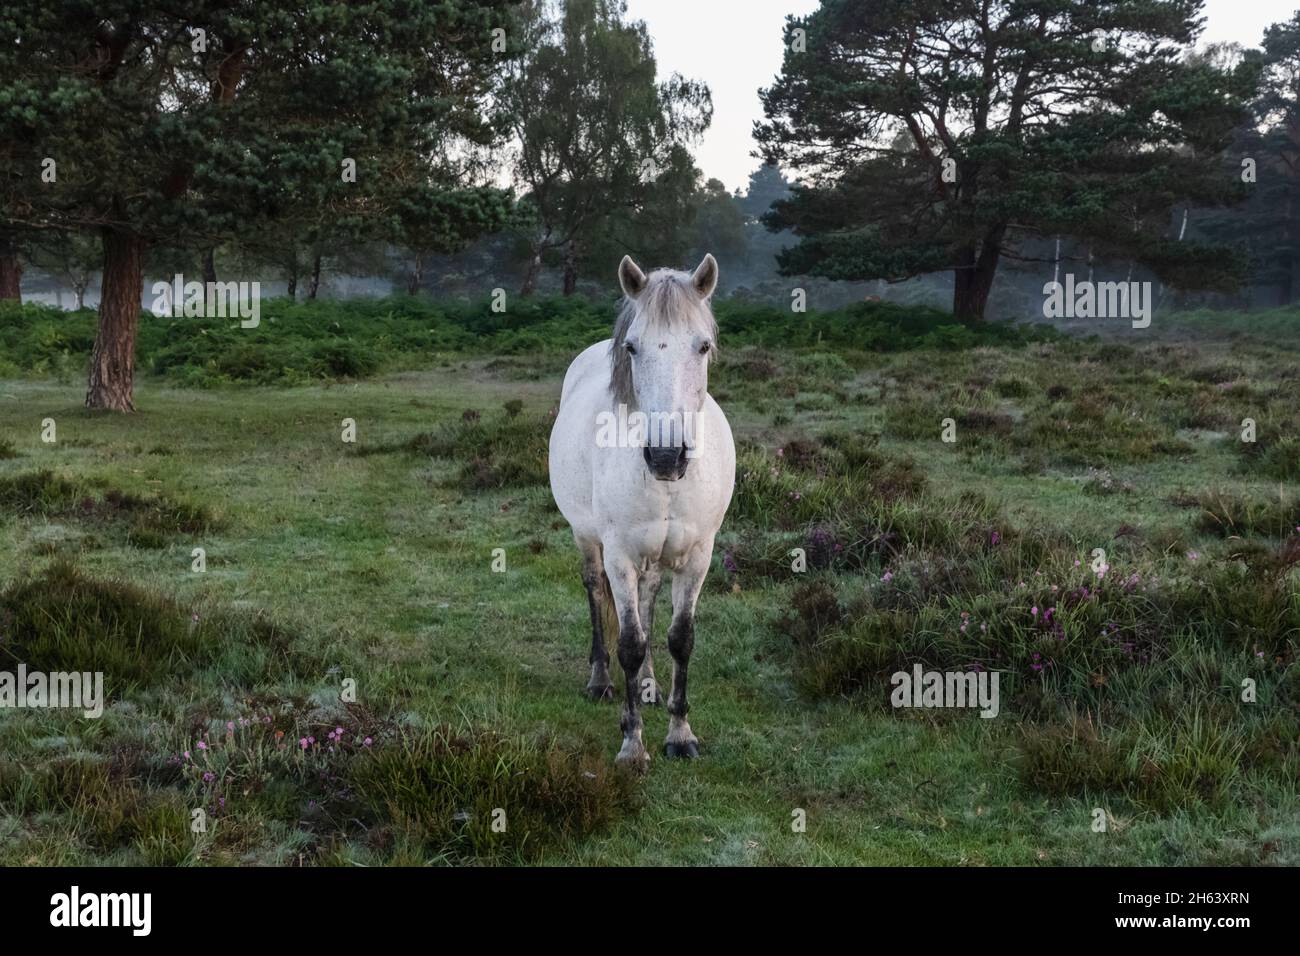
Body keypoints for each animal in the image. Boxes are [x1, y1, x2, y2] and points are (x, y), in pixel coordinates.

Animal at [549, 253, 736, 771]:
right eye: (632, 347)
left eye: (703, 346)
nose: (667, 456)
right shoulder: (620, 557)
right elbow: (629, 643)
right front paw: (633, 744)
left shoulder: (698, 557)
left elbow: (680, 638)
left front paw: (680, 733)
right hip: (587, 539)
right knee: (595, 592)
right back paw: (600, 680)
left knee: (650, 597)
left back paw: (650, 684)